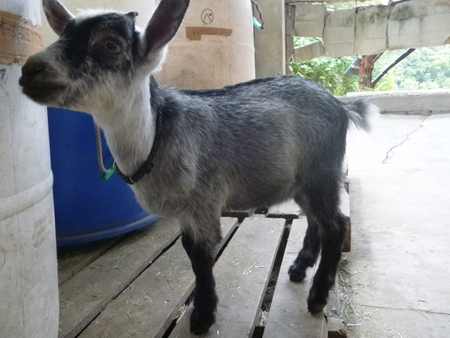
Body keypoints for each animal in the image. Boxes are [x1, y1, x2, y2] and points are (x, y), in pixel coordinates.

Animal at [19, 0, 374, 332]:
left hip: (322, 170)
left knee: (336, 225)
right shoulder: (186, 211)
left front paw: (203, 317)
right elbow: (190, 252)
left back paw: (317, 297)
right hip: (301, 179)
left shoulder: (203, 200)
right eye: (62, 35)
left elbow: (201, 256)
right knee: (315, 219)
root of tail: (340, 105)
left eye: (110, 45)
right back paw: (299, 269)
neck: (156, 135)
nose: (30, 70)